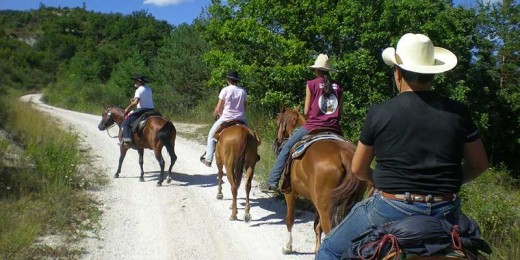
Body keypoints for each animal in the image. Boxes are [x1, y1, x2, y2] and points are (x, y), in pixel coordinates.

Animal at [272, 107, 370, 254]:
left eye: (278, 122)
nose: (276, 143)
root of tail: (345, 156)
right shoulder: (316, 202)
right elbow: (316, 226)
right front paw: (317, 249)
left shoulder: (290, 193)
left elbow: (290, 219)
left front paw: (287, 247)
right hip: (347, 204)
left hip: (326, 207)